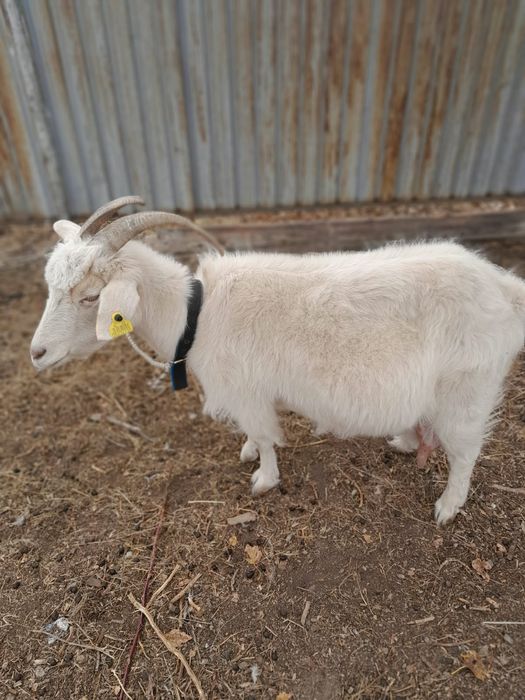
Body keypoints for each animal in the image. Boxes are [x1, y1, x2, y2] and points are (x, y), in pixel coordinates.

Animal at [30, 197, 525, 524]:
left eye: (91, 297)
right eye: (51, 286)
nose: (37, 354)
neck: (195, 315)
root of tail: (503, 288)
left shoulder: (247, 391)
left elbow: (268, 437)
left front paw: (263, 479)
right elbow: (254, 435)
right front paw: (247, 450)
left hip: (468, 390)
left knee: (466, 452)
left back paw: (447, 507)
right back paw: (404, 441)